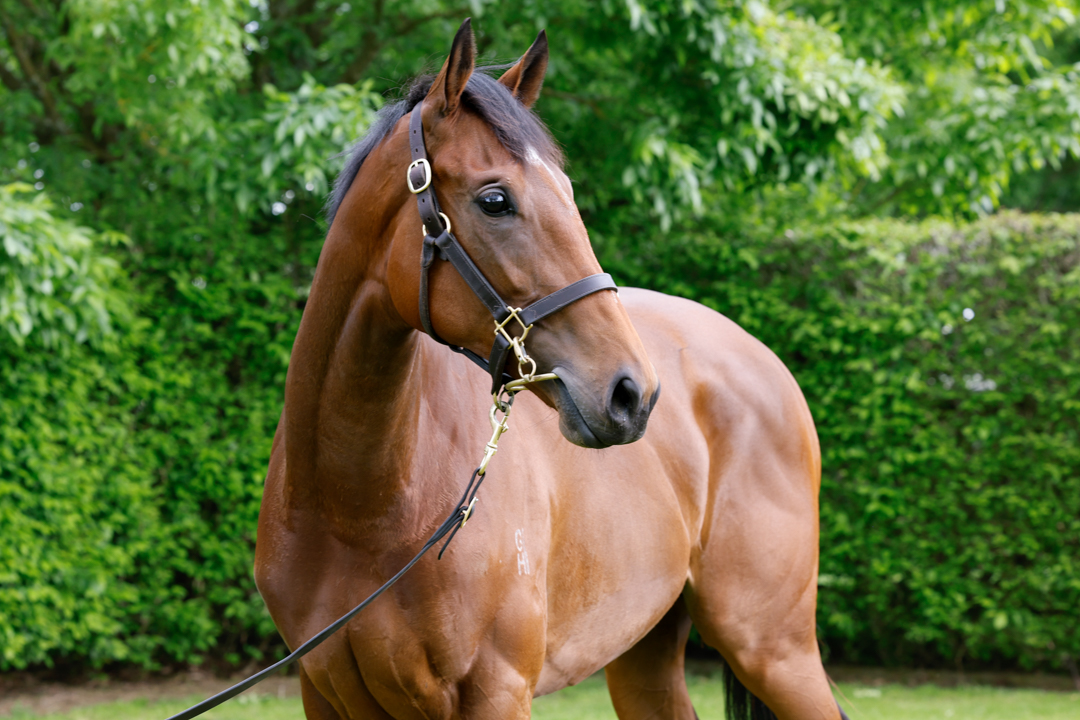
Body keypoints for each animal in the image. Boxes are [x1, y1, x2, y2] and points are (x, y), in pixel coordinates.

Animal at [254, 19, 848, 720]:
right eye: (494, 199)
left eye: (567, 193)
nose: (632, 394)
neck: (359, 509)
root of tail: (763, 361)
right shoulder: (322, 691)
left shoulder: (497, 690)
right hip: (646, 656)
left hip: (773, 648)